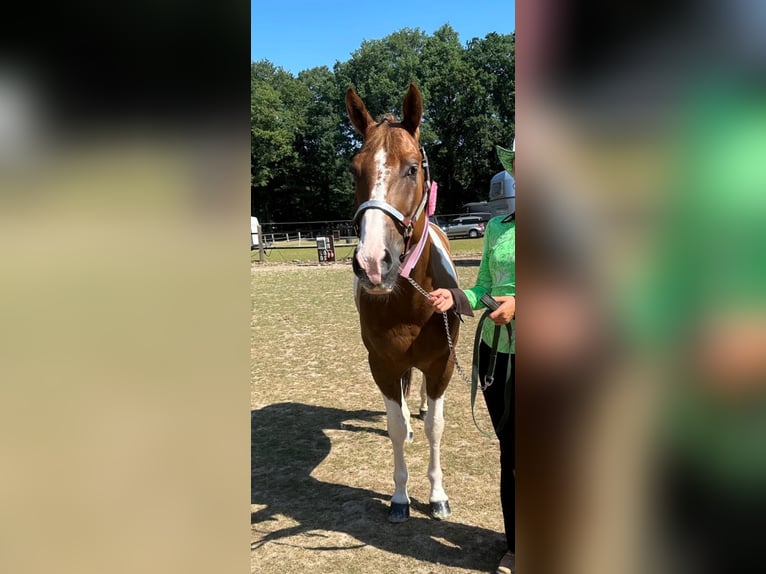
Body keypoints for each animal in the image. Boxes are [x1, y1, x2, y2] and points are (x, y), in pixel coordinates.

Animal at [346, 83, 461, 522]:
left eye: (412, 168)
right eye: (354, 170)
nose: (373, 263)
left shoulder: (442, 365)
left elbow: (437, 428)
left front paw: (438, 495)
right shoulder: (382, 364)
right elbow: (395, 426)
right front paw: (399, 497)